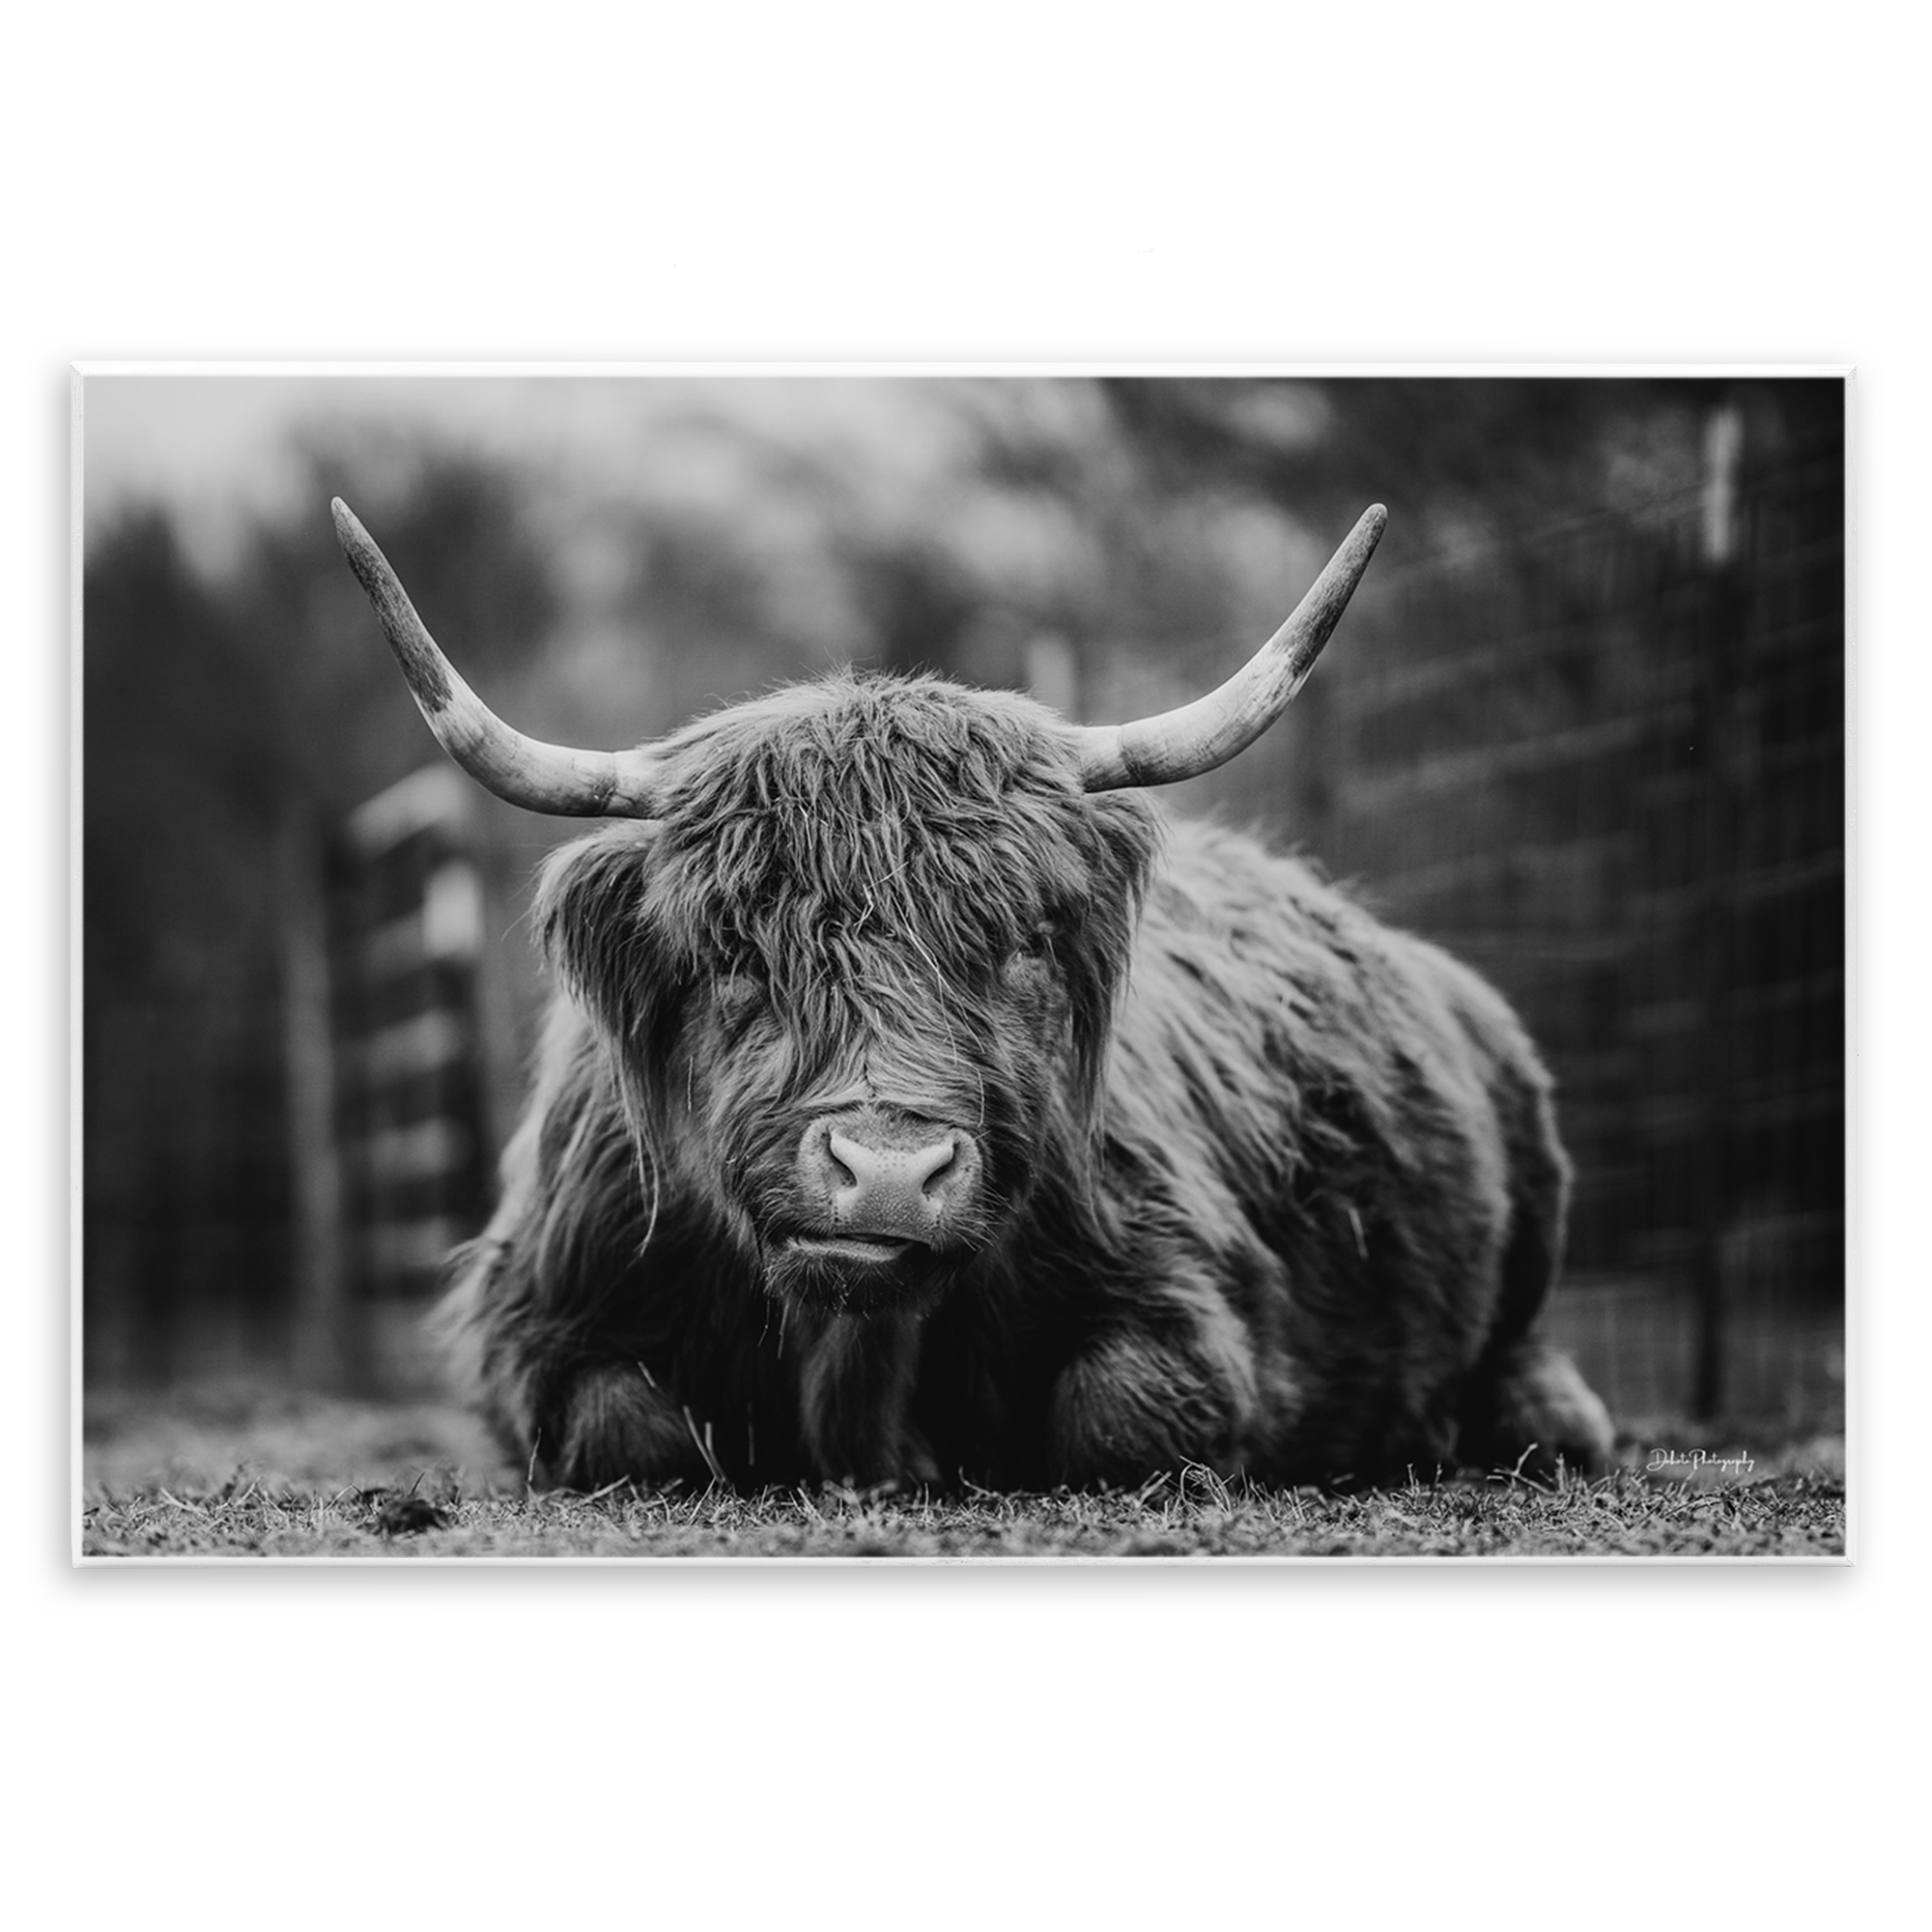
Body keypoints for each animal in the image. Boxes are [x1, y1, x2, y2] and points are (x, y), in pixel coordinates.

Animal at [333, 494, 1615, 1493]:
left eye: (1018, 946)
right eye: (737, 952)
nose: (888, 1172)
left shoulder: (1186, 1302)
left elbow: (1122, 1412)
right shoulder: (540, 1320)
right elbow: (622, 1429)